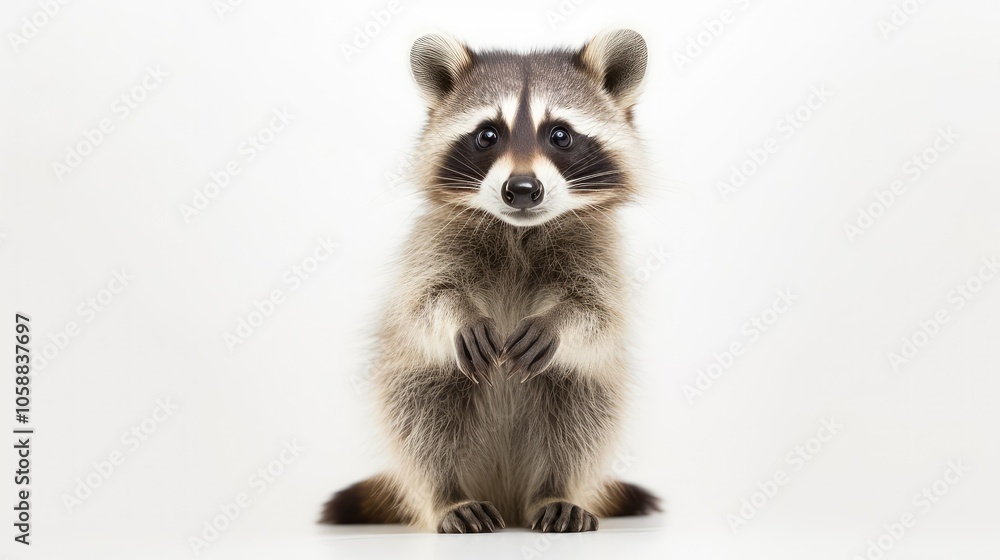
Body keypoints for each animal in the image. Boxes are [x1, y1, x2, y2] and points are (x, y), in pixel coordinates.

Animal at [321, 29, 659, 533]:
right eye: (487, 135)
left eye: (560, 135)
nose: (522, 190)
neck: (519, 231)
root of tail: (505, 492)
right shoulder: (431, 243)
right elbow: (424, 302)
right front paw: (459, 313)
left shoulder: (601, 252)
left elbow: (598, 314)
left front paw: (559, 320)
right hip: (415, 380)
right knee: (421, 419)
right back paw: (447, 495)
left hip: (579, 397)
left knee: (580, 415)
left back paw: (554, 490)